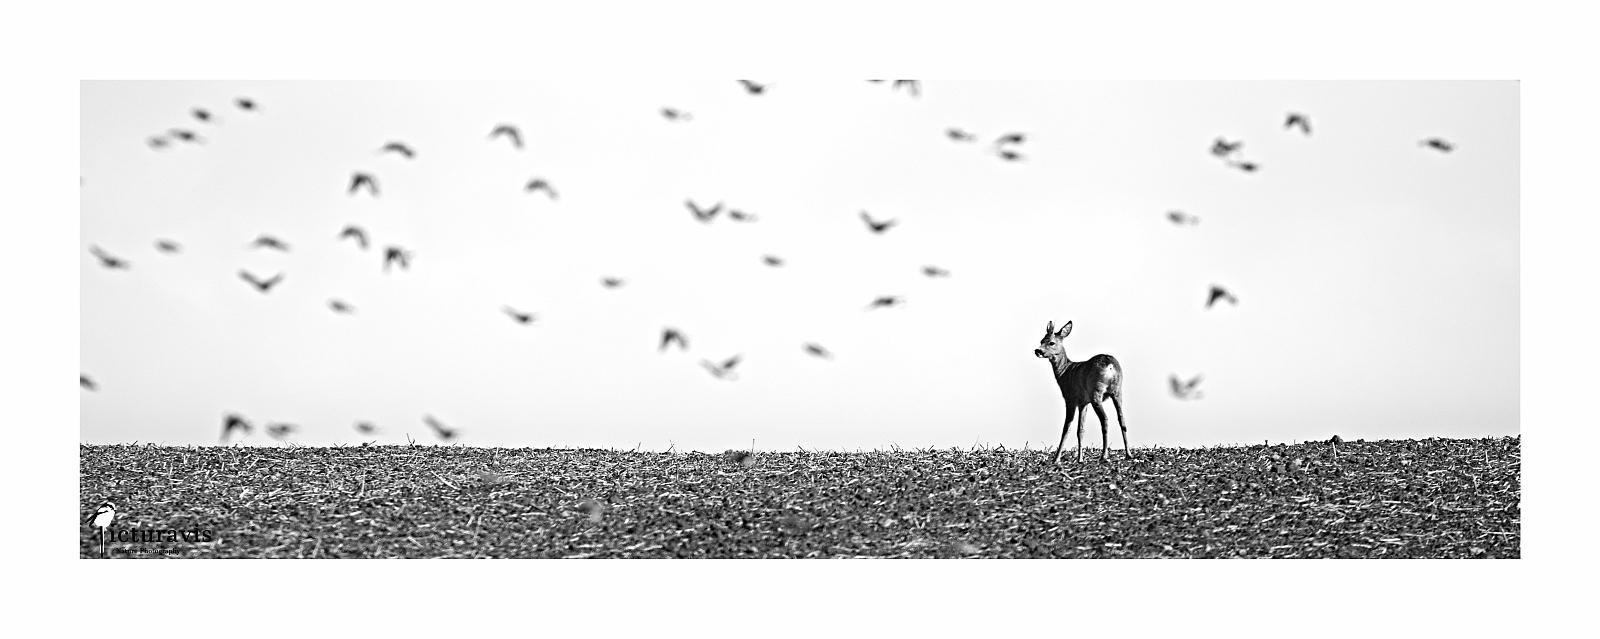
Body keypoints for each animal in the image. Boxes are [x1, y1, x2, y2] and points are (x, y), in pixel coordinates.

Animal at [1034, 320, 1134, 464]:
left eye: (1051, 342)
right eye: (1041, 340)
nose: (1038, 350)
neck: (1064, 372)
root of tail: (1110, 365)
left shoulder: (1070, 398)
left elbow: (1066, 428)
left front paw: (1056, 459)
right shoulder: (1083, 403)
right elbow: (1080, 430)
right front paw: (1080, 459)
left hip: (1096, 392)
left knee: (1105, 419)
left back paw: (1104, 455)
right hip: (1118, 390)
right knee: (1122, 419)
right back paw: (1128, 454)